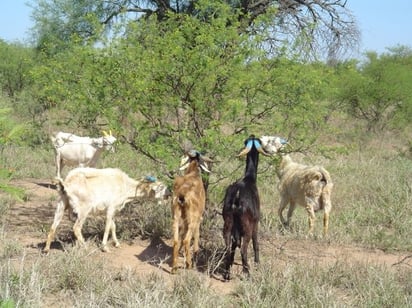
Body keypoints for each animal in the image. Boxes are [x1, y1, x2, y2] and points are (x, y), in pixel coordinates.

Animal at [44, 168, 172, 253]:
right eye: (162, 187)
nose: (169, 194)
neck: (125, 185)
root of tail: (66, 184)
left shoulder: (113, 210)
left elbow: (113, 226)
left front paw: (117, 243)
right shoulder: (111, 208)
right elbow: (107, 227)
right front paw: (105, 247)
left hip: (61, 204)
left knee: (53, 226)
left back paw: (46, 249)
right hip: (84, 209)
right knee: (76, 227)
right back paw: (85, 247)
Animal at [220, 134, 268, 280]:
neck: (249, 178)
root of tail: (237, 196)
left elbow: (234, 244)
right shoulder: (256, 223)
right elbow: (256, 243)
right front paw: (257, 264)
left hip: (228, 223)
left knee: (229, 247)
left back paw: (227, 274)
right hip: (246, 227)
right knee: (243, 248)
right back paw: (247, 272)